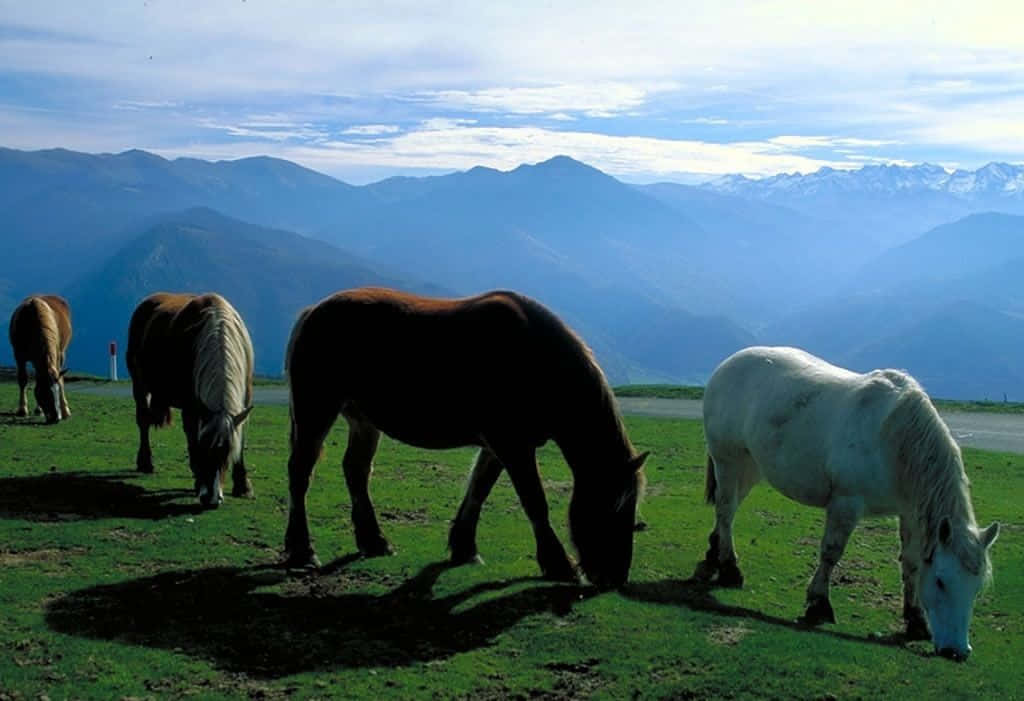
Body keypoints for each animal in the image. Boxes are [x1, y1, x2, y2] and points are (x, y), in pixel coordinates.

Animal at [8, 295, 72, 423]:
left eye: (56, 391)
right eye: (44, 392)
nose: (55, 418)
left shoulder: (57, 355)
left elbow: (60, 380)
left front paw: (64, 410)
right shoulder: (19, 356)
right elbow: (23, 379)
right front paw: (22, 409)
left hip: (62, 353)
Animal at [126, 292, 255, 507]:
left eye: (226, 454)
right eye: (204, 450)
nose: (211, 499)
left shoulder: (243, 402)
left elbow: (240, 438)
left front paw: (242, 486)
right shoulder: (191, 407)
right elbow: (192, 440)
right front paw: (199, 481)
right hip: (139, 381)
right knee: (143, 421)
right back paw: (145, 462)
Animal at [283, 287, 648, 590]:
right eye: (615, 506)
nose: (615, 578)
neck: (535, 357)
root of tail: (313, 311)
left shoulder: (498, 447)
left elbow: (478, 491)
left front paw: (463, 547)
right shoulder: (512, 445)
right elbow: (535, 502)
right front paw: (558, 563)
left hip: (363, 421)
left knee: (356, 471)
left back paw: (374, 541)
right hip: (316, 411)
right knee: (301, 473)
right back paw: (302, 550)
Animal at [697, 346, 999, 661]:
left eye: (977, 587)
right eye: (941, 581)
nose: (957, 651)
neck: (892, 439)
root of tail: (729, 363)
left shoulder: (909, 513)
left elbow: (912, 563)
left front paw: (915, 620)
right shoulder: (846, 503)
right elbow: (831, 552)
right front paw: (818, 604)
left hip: (750, 467)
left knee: (727, 510)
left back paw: (714, 552)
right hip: (728, 461)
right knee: (726, 510)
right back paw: (729, 568)